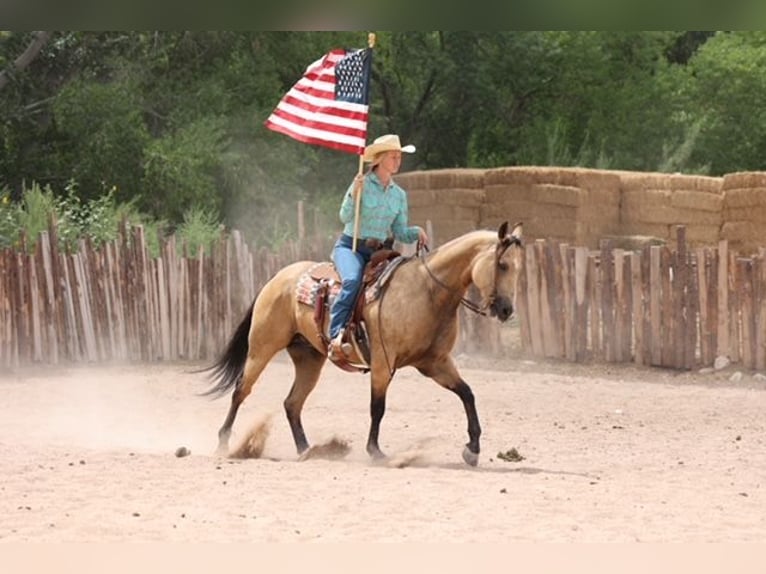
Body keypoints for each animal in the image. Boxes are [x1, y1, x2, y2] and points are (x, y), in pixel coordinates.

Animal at [204, 222, 524, 468]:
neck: (426, 291)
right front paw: (376, 452)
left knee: (292, 403)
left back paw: (308, 451)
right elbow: (377, 407)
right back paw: (224, 443)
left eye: (518, 268)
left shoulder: (435, 363)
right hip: (262, 347)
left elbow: (467, 393)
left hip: (309, 359)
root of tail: (277, 279)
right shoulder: (383, 362)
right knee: (241, 390)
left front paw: (472, 449)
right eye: (502, 265)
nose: (507, 310)